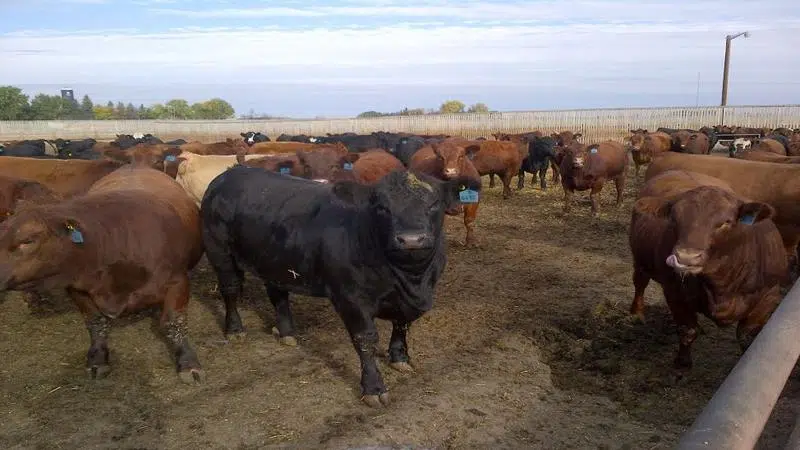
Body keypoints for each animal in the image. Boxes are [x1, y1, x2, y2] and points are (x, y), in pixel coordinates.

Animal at [0, 166, 204, 383]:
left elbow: (174, 323)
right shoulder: (77, 288)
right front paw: (98, 358)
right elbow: (96, 322)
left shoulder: (177, 282)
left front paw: (188, 362)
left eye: (28, 240)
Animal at [200, 166, 480, 406]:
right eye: (382, 208)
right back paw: (235, 329)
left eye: (434, 204)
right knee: (230, 289)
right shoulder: (351, 298)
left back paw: (287, 332)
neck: (412, 279)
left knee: (278, 294)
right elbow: (365, 340)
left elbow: (402, 325)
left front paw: (400, 358)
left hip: (275, 260)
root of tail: (229, 174)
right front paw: (374, 388)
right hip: (219, 252)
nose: (411, 239)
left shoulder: (409, 300)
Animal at [629, 169, 786, 376]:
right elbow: (687, 330)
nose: (686, 257)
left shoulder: (769, 296)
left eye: (726, 222)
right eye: (674, 219)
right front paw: (682, 362)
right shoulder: (674, 293)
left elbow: (746, 337)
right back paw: (637, 313)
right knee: (640, 283)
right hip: (639, 261)